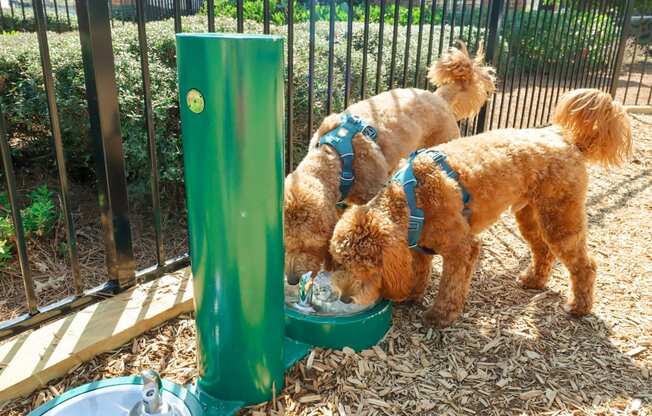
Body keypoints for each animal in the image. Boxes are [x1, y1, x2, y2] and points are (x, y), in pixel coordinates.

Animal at [284, 43, 494, 282]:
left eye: (308, 244)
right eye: (286, 244)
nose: (291, 279)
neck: (334, 154)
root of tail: (439, 97)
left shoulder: (369, 195)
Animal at [332, 88, 632, 328]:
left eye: (366, 268)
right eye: (340, 262)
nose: (344, 298)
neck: (409, 198)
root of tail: (567, 139)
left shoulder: (462, 248)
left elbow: (451, 284)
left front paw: (440, 315)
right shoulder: (418, 247)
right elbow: (419, 272)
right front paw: (412, 295)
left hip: (559, 217)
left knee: (585, 264)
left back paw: (579, 307)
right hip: (531, 215)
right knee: (543, 250)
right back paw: (534, 280)